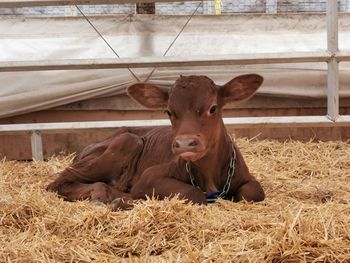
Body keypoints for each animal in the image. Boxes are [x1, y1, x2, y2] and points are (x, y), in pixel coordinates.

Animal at [47, 74, 266, 210]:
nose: (185, 143)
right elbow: (193, 192)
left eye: (213, 108)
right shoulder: (149, 177)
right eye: (169, 111)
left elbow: (254, 192)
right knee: (59, 182)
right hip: (128, 140)